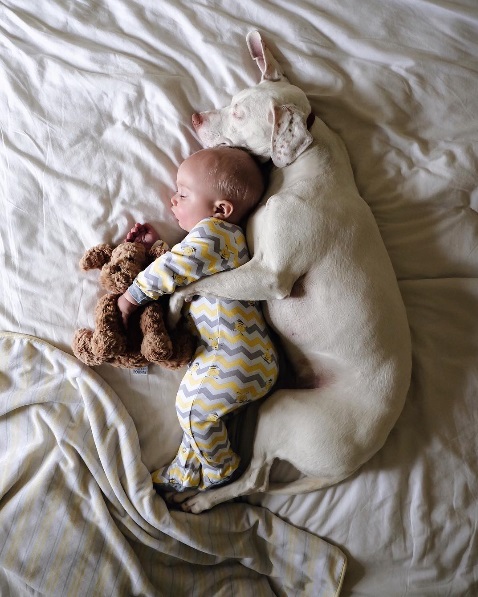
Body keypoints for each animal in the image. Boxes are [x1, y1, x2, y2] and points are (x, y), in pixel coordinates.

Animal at [167, 30, 410, 512]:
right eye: (233, 99)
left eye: (239, 113)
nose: (196, 116)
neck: (303, 169)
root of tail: (358, 461)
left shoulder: (269, 275)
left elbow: (203, 282)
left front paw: (173, 304)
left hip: (282, 411)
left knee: (255, 480)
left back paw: (204, 502)